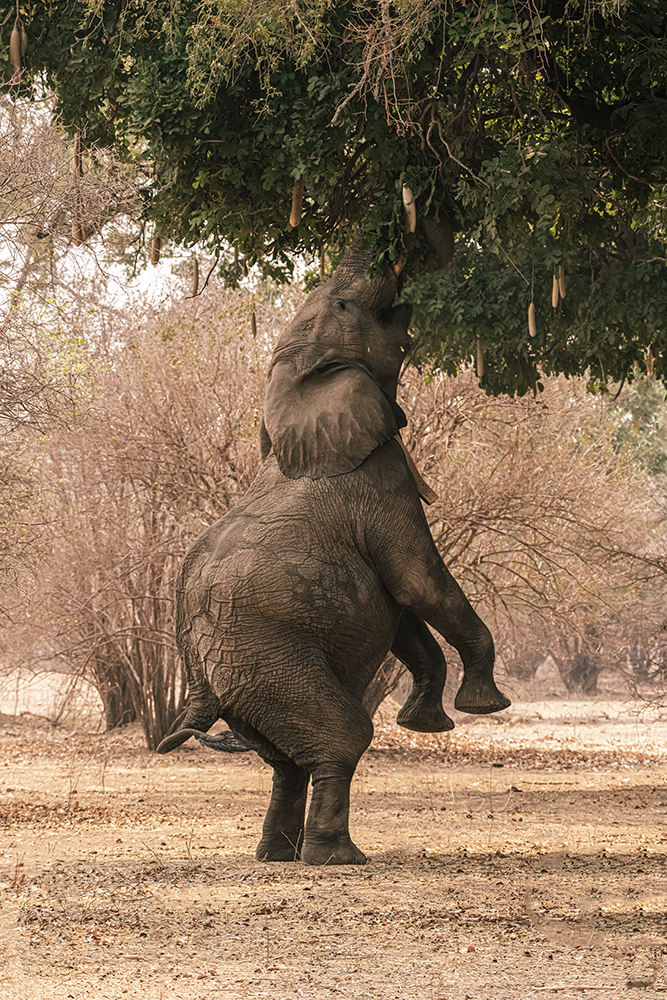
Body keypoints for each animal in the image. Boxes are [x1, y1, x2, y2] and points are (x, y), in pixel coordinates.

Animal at [158, 223, 512, 864]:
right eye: (345, 306)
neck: (297, 386)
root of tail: (199, 683)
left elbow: (401, 614)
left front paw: (427, 723)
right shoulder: (383, 478)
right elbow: (417, 583)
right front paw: (483, 705)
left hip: (249, 676)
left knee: (283, 758)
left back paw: (277, 856)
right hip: (268, 657)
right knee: (340, 736)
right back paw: (337, 857)